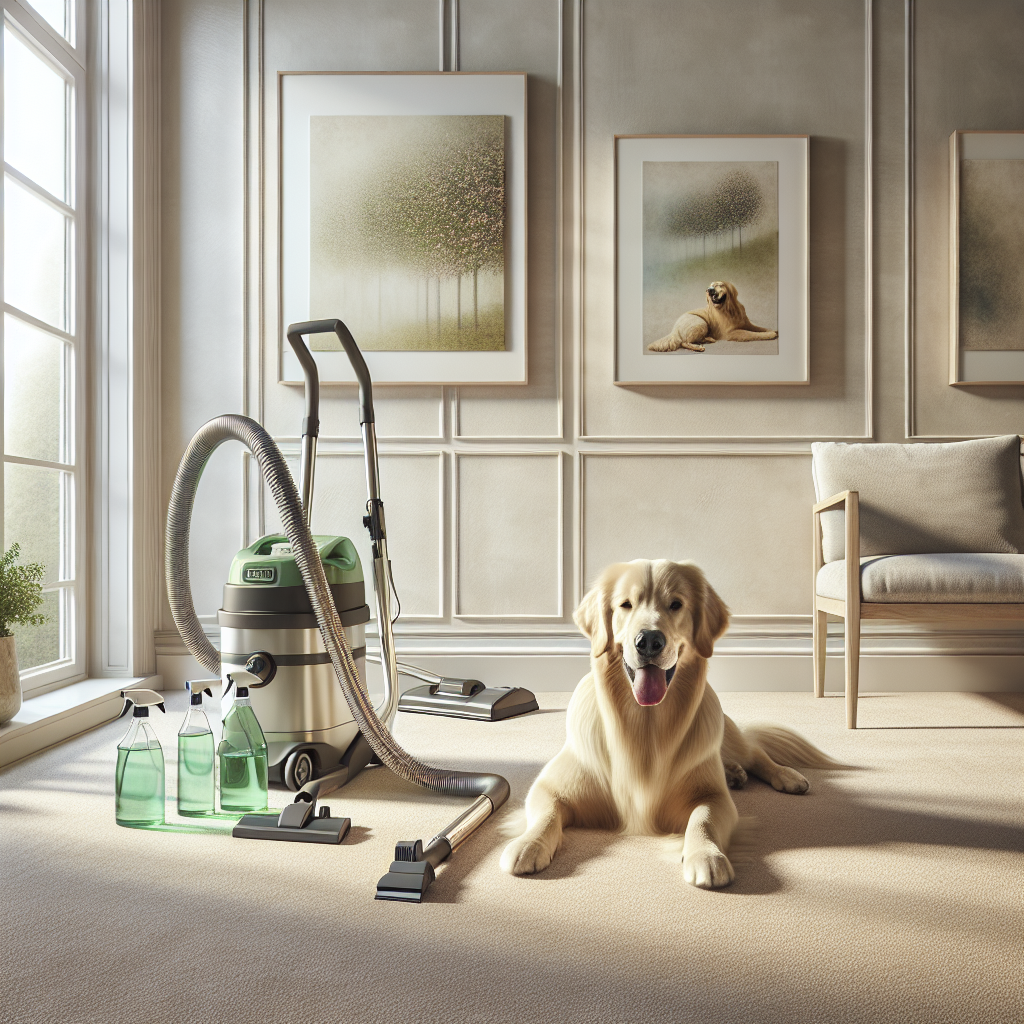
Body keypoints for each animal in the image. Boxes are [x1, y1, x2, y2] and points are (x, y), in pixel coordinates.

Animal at [499, 561, 835, 888]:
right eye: (626, 605)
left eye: (676, 604)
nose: (649, 641)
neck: (644, 727)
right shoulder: (550, 785)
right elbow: (545, 814)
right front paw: (528, 844)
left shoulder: (715, 798)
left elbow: (703, 819)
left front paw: (706, 855)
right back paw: (734, 773)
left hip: (727, 734)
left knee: (755, 753)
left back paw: (786, 776)